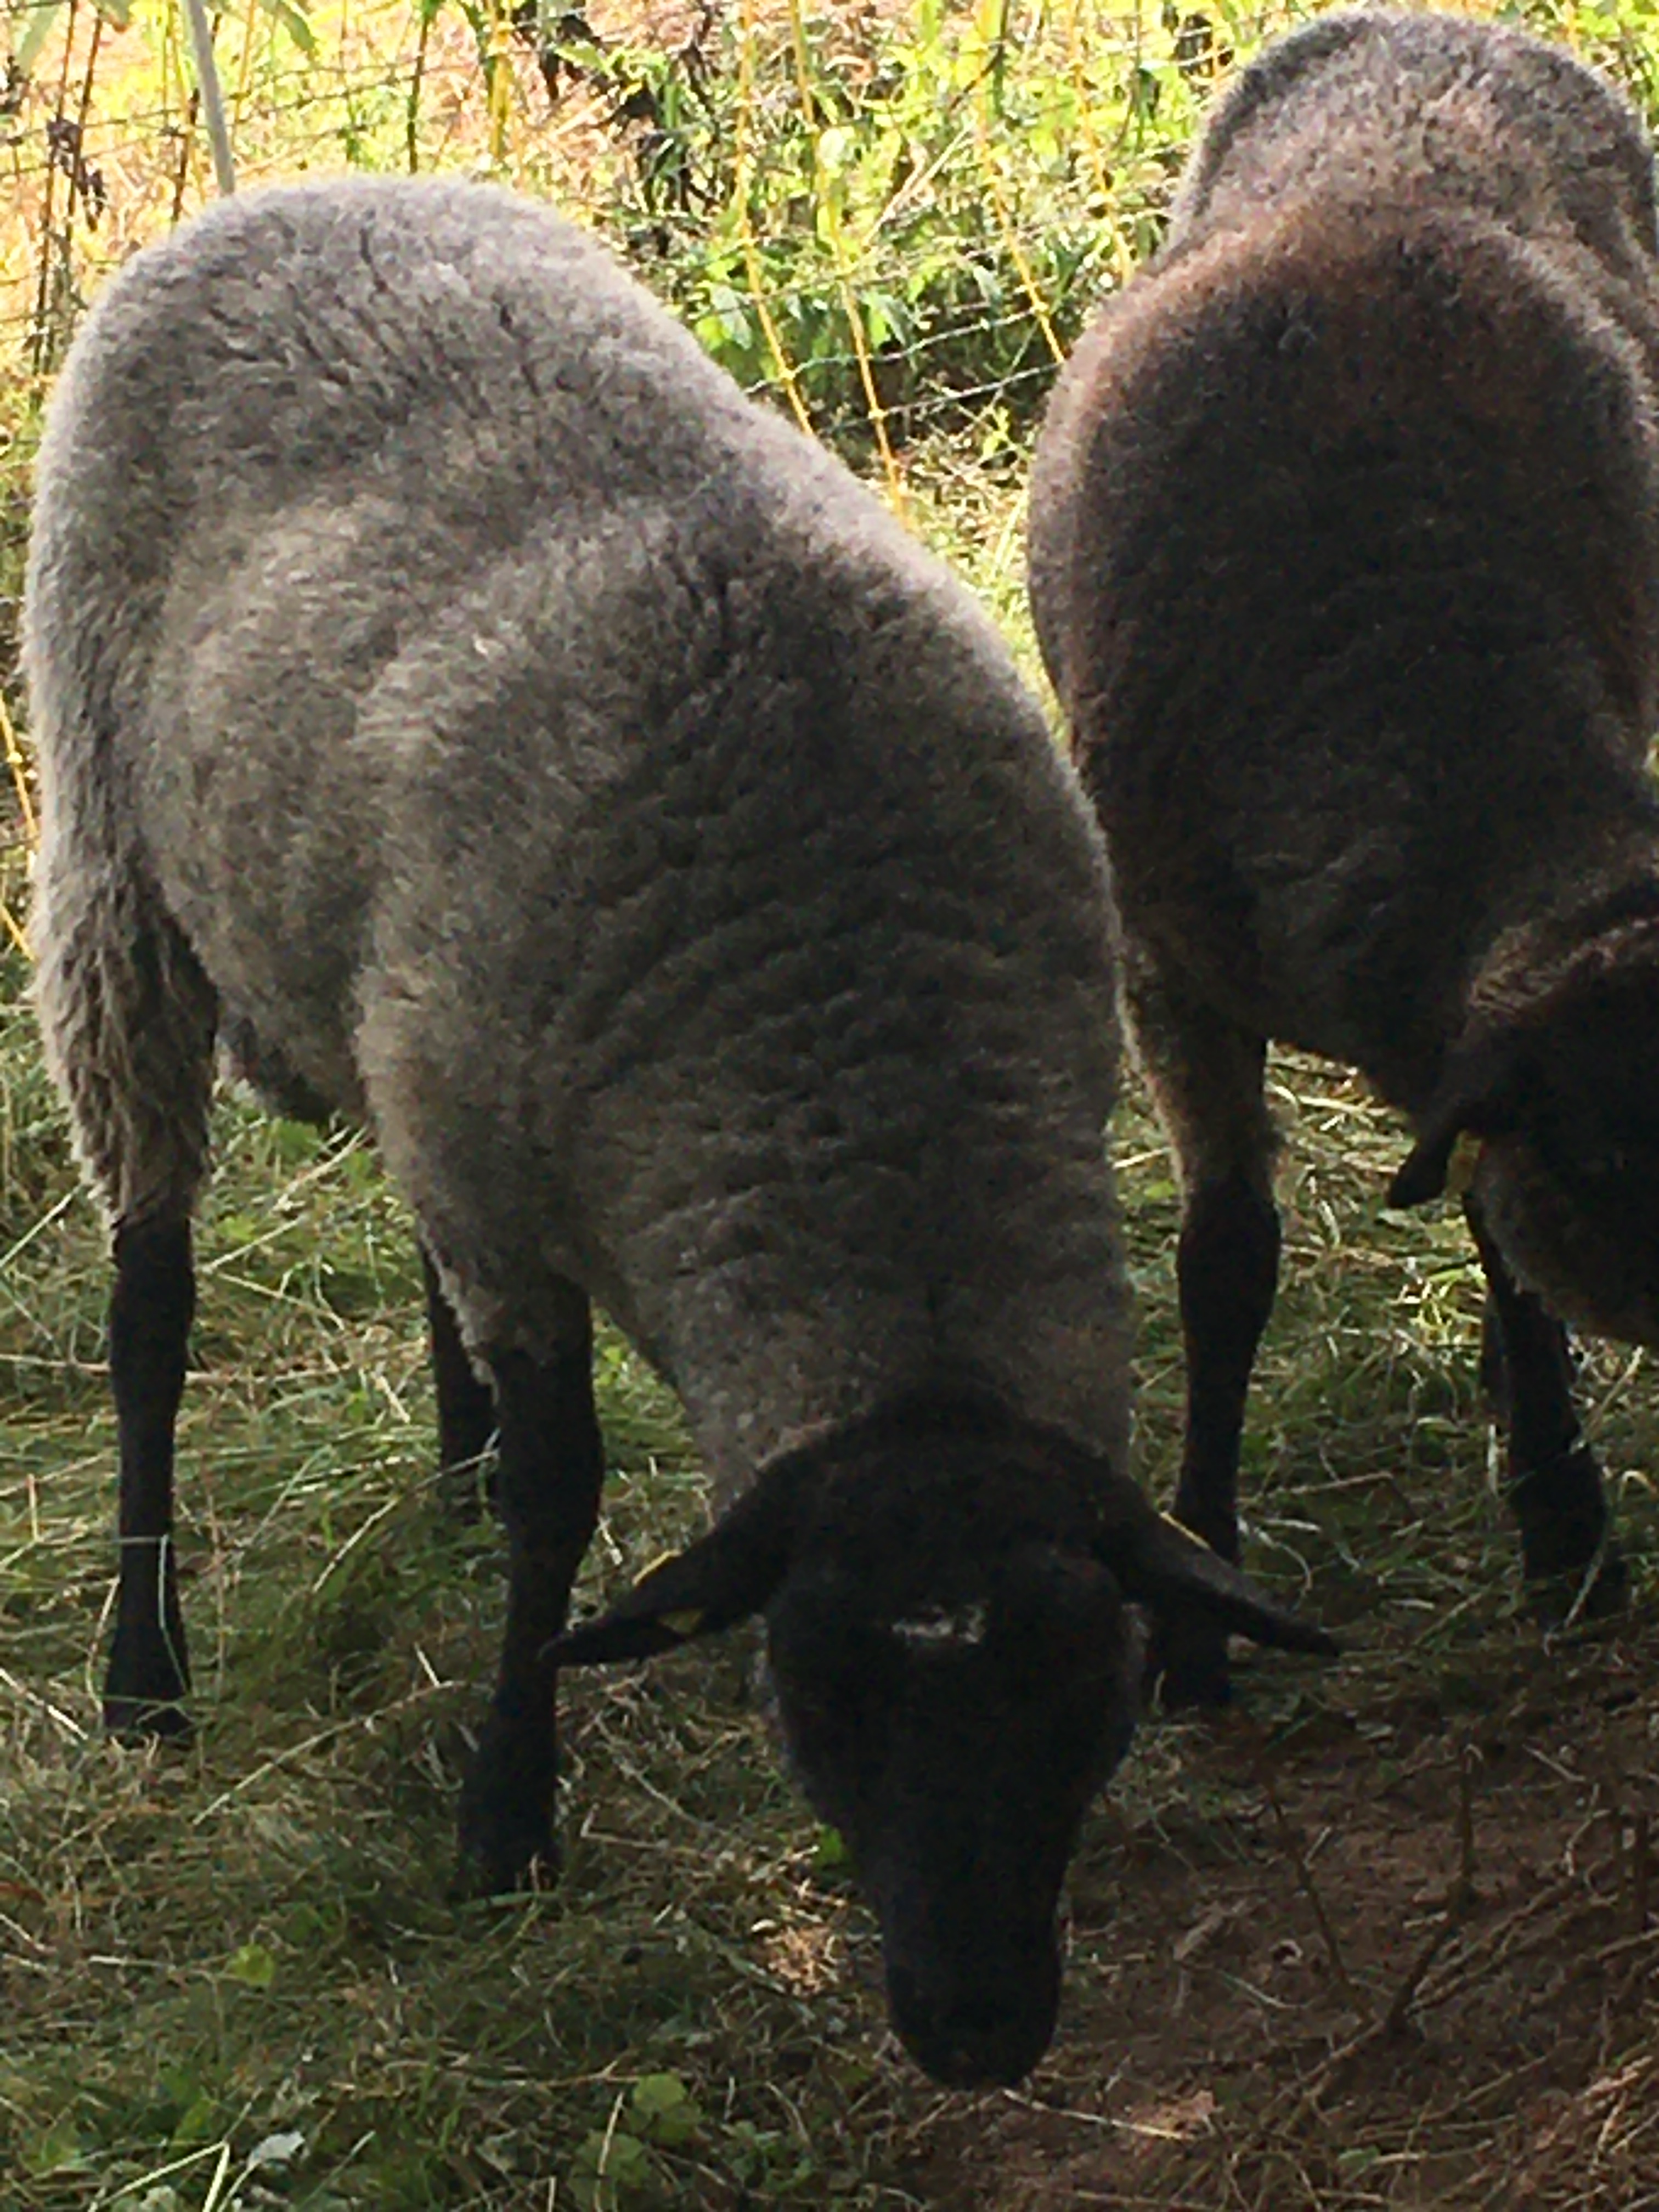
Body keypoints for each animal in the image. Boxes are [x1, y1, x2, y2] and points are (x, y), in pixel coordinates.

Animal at [23, 175, 1334, 2089]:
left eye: (1085, 1694)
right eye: (814, 1700)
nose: (977, 2030)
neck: (853, 1059)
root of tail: (290, 193)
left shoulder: (488, 1127)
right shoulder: (516, 1189)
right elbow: (565, 1498)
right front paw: (506, 1813)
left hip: (397, 1019)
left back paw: (446, 1453)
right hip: (113, 870)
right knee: (149, 1303)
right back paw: (147, 1665)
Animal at [1028, 8, 1659, 1705]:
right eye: (1617, 1160)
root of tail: (1439, 25)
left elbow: (1489, 1222)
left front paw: (1562, 1522)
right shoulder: (1165, 967)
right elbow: (1226, 1262)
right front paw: (1195, 1608)